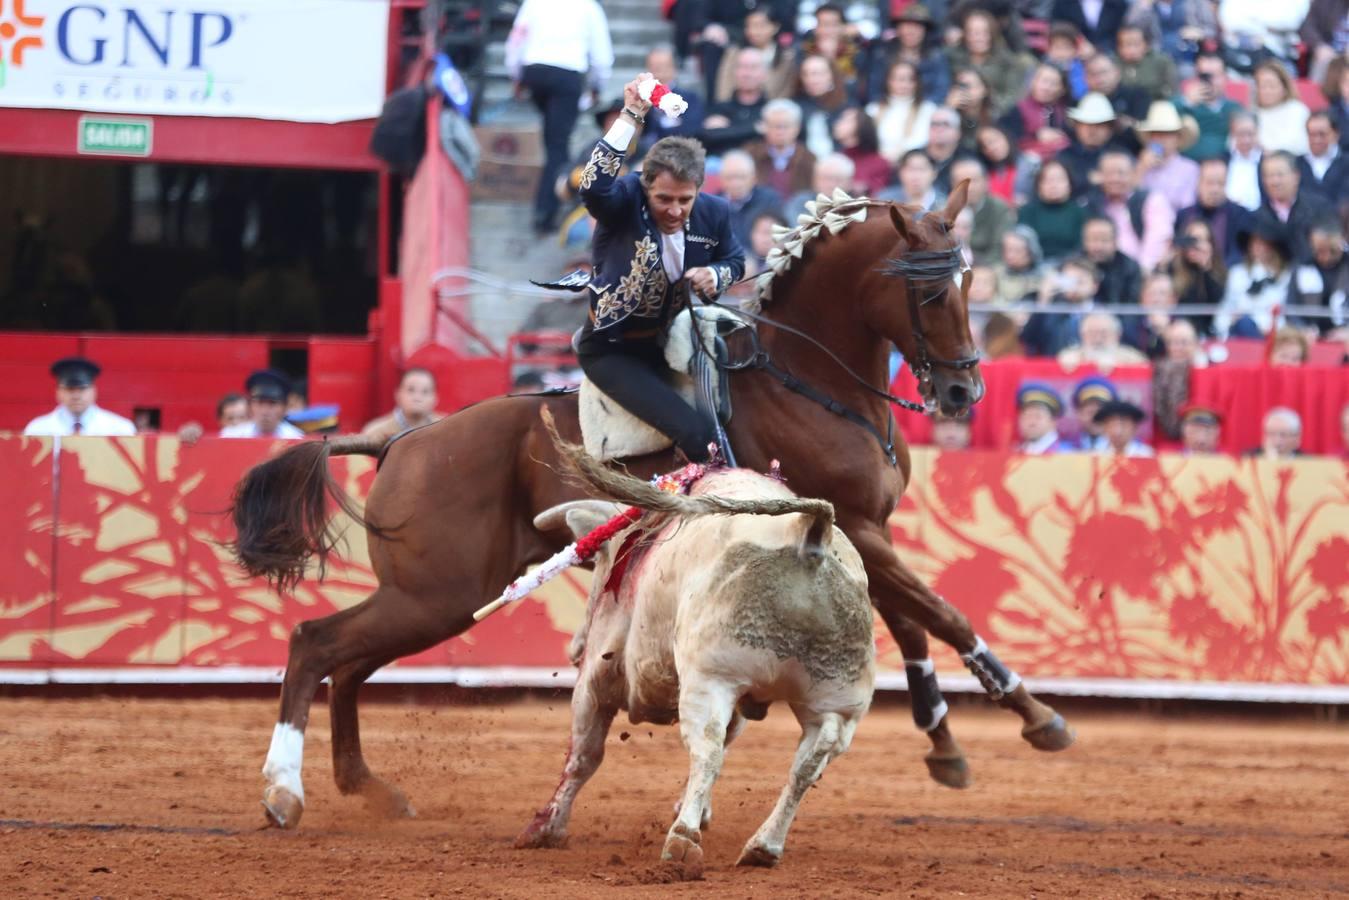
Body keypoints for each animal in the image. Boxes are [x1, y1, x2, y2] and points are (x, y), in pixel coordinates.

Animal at [515, 439, 874, 874]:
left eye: (599, 562)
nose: (574, 649)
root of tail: (811, 535)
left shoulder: (596, 681)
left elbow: (585, 754)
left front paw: (546, 827)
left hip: (711, 679)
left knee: (708, 748)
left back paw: (683, 841)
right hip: (836, 702)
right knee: (809, 763)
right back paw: (762, 846)